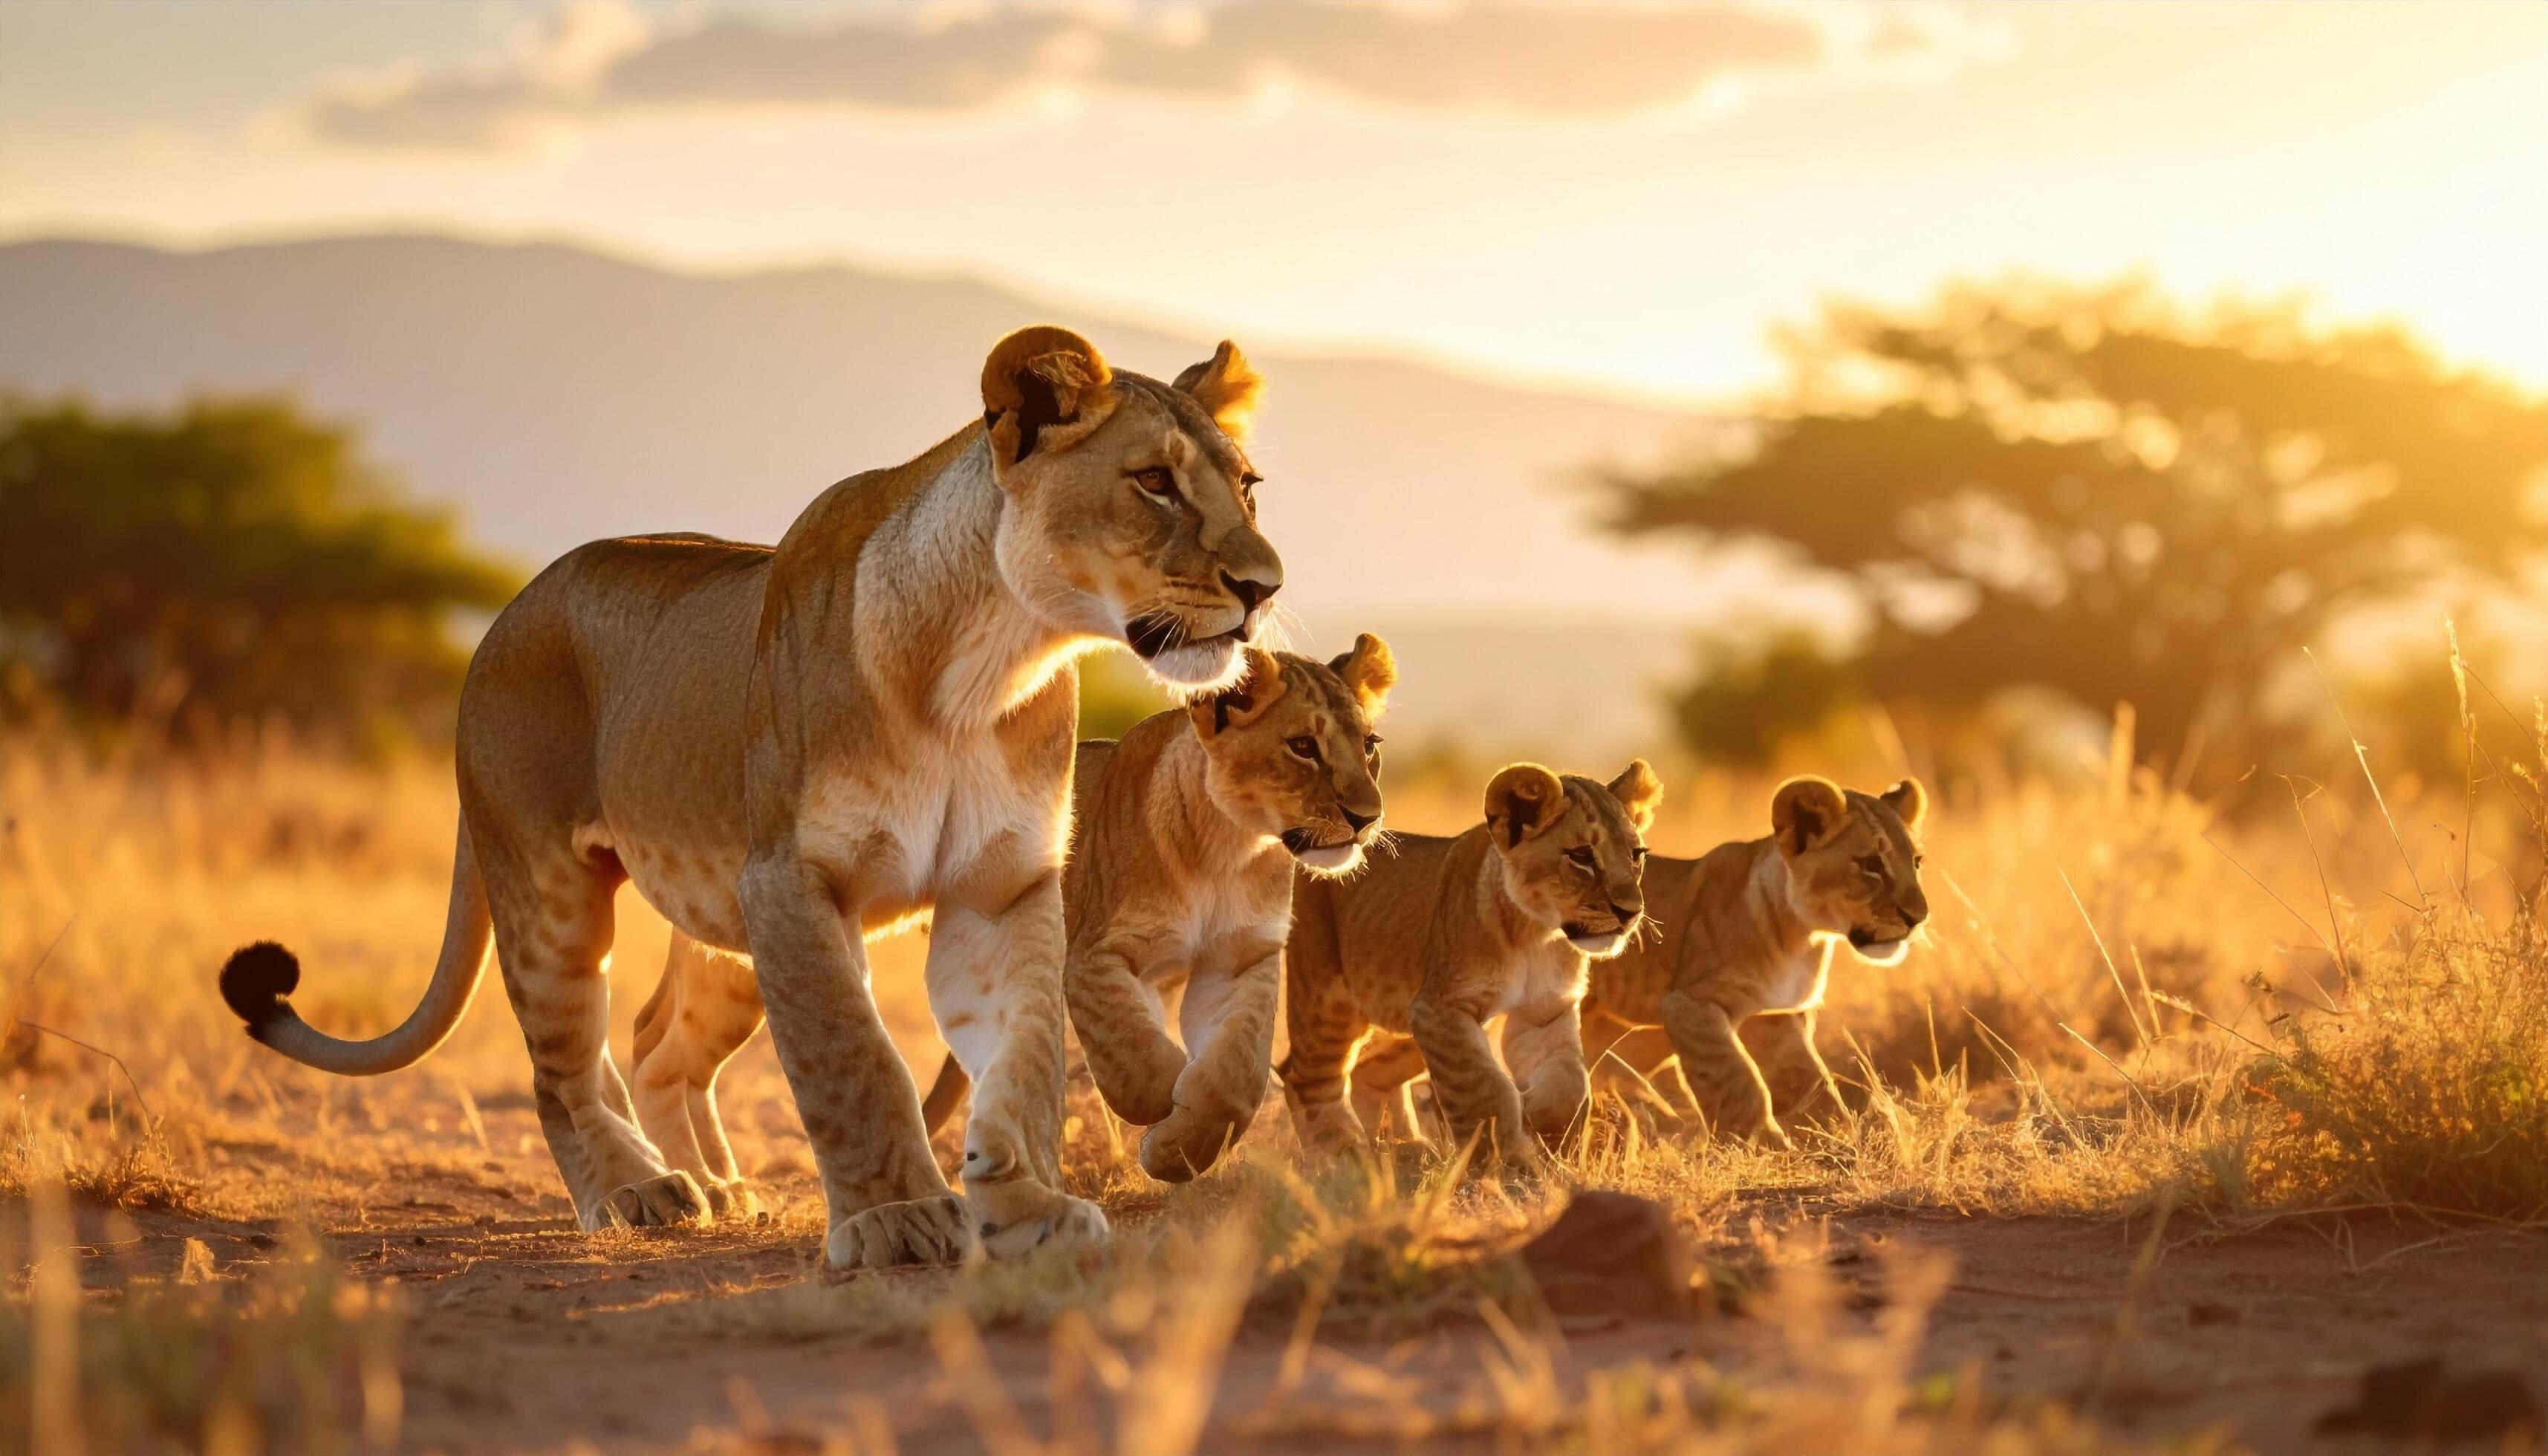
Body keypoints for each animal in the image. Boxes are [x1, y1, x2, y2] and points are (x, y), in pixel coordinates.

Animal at [217, 326, 1284, 1269]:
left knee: (657, 1044)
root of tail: (504, 615)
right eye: (1151, 482)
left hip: (724, 922)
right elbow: (851, 1054)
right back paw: (637, 1191)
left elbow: (1023, 1055)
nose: (1264, 587)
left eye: (1246, 486)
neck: (991, 662)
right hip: (555, 888)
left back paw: (720, 1187)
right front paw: (896, 1217)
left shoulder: (999, 885)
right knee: (562, 1068)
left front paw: (1026, 1210)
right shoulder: (794, 880)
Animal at [632, 636, 1396, 1195]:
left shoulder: (1244, 957)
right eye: (1302, 746)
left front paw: (1190, 1137)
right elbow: (1135, 1059)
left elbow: (1236, 1075)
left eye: (1371, 747)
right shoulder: (1093, 954)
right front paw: (1165, 1117)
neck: (1230, 847)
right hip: (745, 958)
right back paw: (699, 1185)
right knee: (659, 1050)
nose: (1368, 817)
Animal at [1279, 760, 1662, 1162]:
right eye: (1582, 856)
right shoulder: (1439, 1009)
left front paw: (1543, 1126)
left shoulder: (1544, 1011)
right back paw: (1340, 1155)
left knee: (1366, 1072)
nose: (1631, 912)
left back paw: (1397, 1148)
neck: (1538, 935)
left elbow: (1567, 1083)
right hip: (1327, 1000)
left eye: (1637, 854)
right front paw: (1503, 1160)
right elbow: (1484, 1091)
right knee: (1304, 1076)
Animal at [1581, 776, 1928, 1143]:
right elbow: (1735, 1077)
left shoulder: (1777, 1011)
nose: (1918, 917)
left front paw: (1788, 1104)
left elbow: (1805, 1071)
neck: (1801, 936)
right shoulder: (1689, 1004)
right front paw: (1760, 1139)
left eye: (1917, 862)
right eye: (1871, 865)